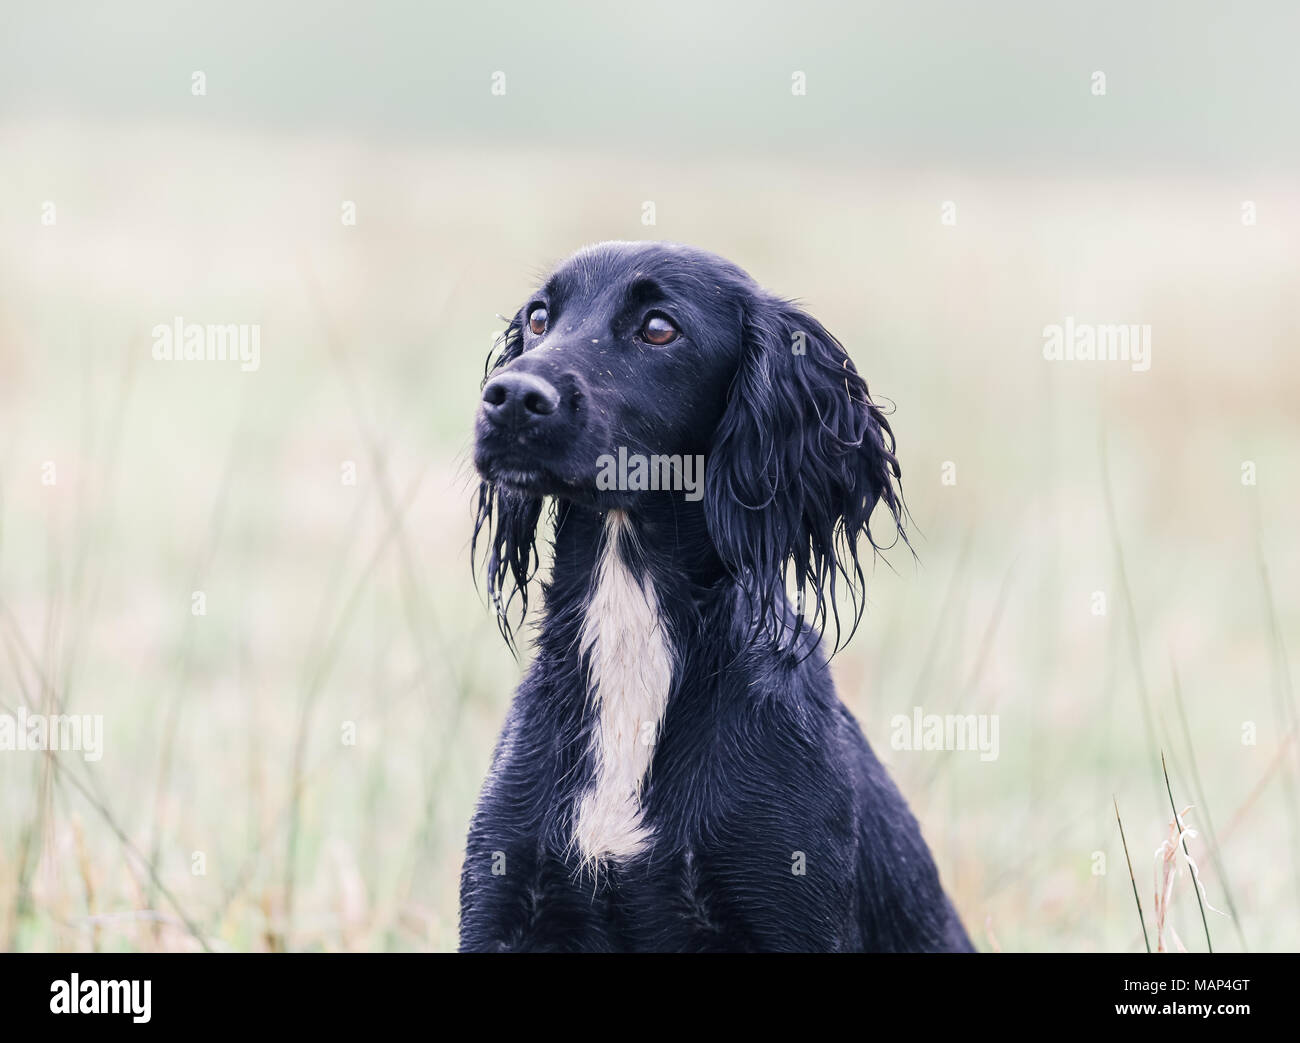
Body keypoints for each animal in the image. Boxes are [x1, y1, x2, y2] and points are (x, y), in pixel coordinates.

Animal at [462, 239, 972, 946]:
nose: (509, 396)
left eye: (659, 328)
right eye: (539, 318)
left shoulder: (790, 912)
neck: (633, 642)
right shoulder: (503, 899)